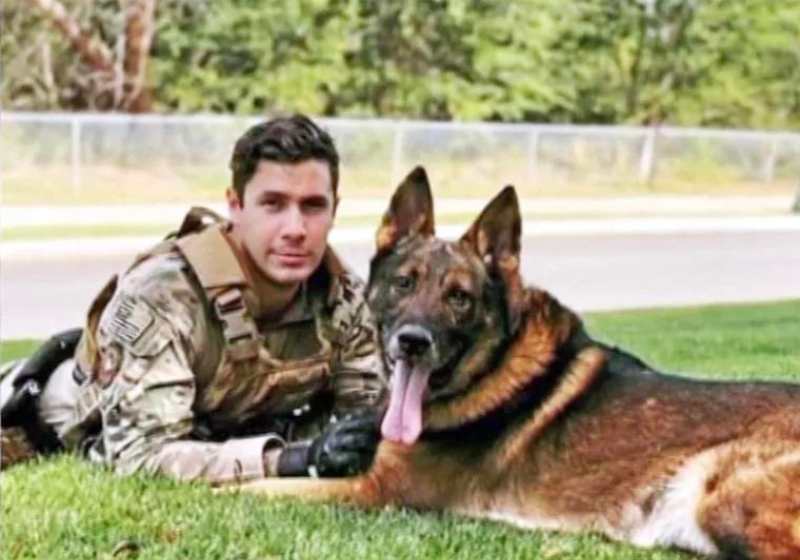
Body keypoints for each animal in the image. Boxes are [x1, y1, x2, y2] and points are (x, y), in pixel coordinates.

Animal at [233, 168, 800, 560]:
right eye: (403, 284)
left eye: (459, 298)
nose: (413, 342)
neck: (492, 372)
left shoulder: (374, 491)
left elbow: (250, 489)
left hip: (719, 497)